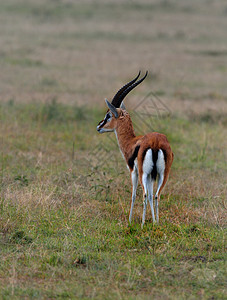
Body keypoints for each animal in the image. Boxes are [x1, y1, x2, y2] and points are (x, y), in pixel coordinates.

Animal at [96, 71, 174, 227]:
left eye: (108, 115)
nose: (99, 126)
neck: (132, 142)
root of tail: (155, 143)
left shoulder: (134, 171)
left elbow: (133, 195)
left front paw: (130, 220)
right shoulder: (151, 175)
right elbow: (151, 195)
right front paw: (154, 221)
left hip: (144, 174)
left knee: (144, 194)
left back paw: (142, 225)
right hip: (163, 174)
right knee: (156, 195)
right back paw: (157, 223)